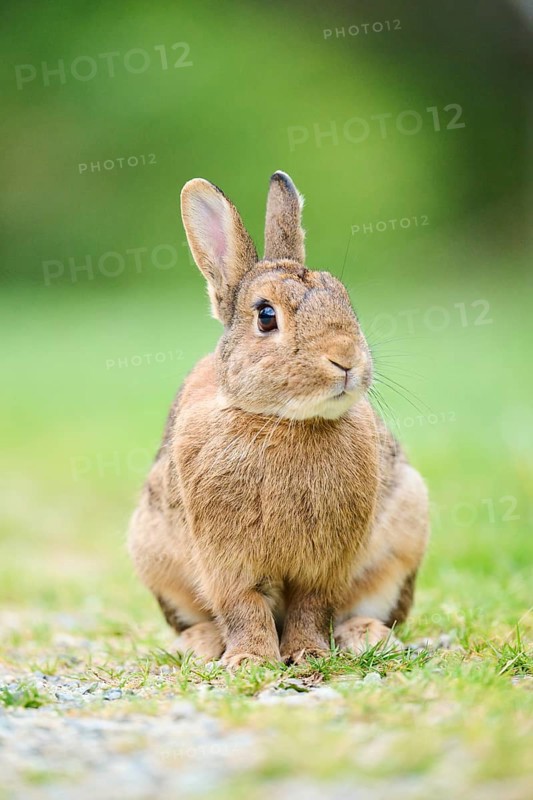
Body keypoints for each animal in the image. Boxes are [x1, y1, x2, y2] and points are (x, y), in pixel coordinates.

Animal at [128, 171, 429, 667]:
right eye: (266, 315)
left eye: (344, 300)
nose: (346, 358)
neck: (281, 421)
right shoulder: (225, 561)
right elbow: (243, 605)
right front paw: (249, 660)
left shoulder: (325, 564)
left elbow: (312, 605)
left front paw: (308, 655)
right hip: (152, 553)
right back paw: (198, 644)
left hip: (402, 543)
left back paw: (365, 635)